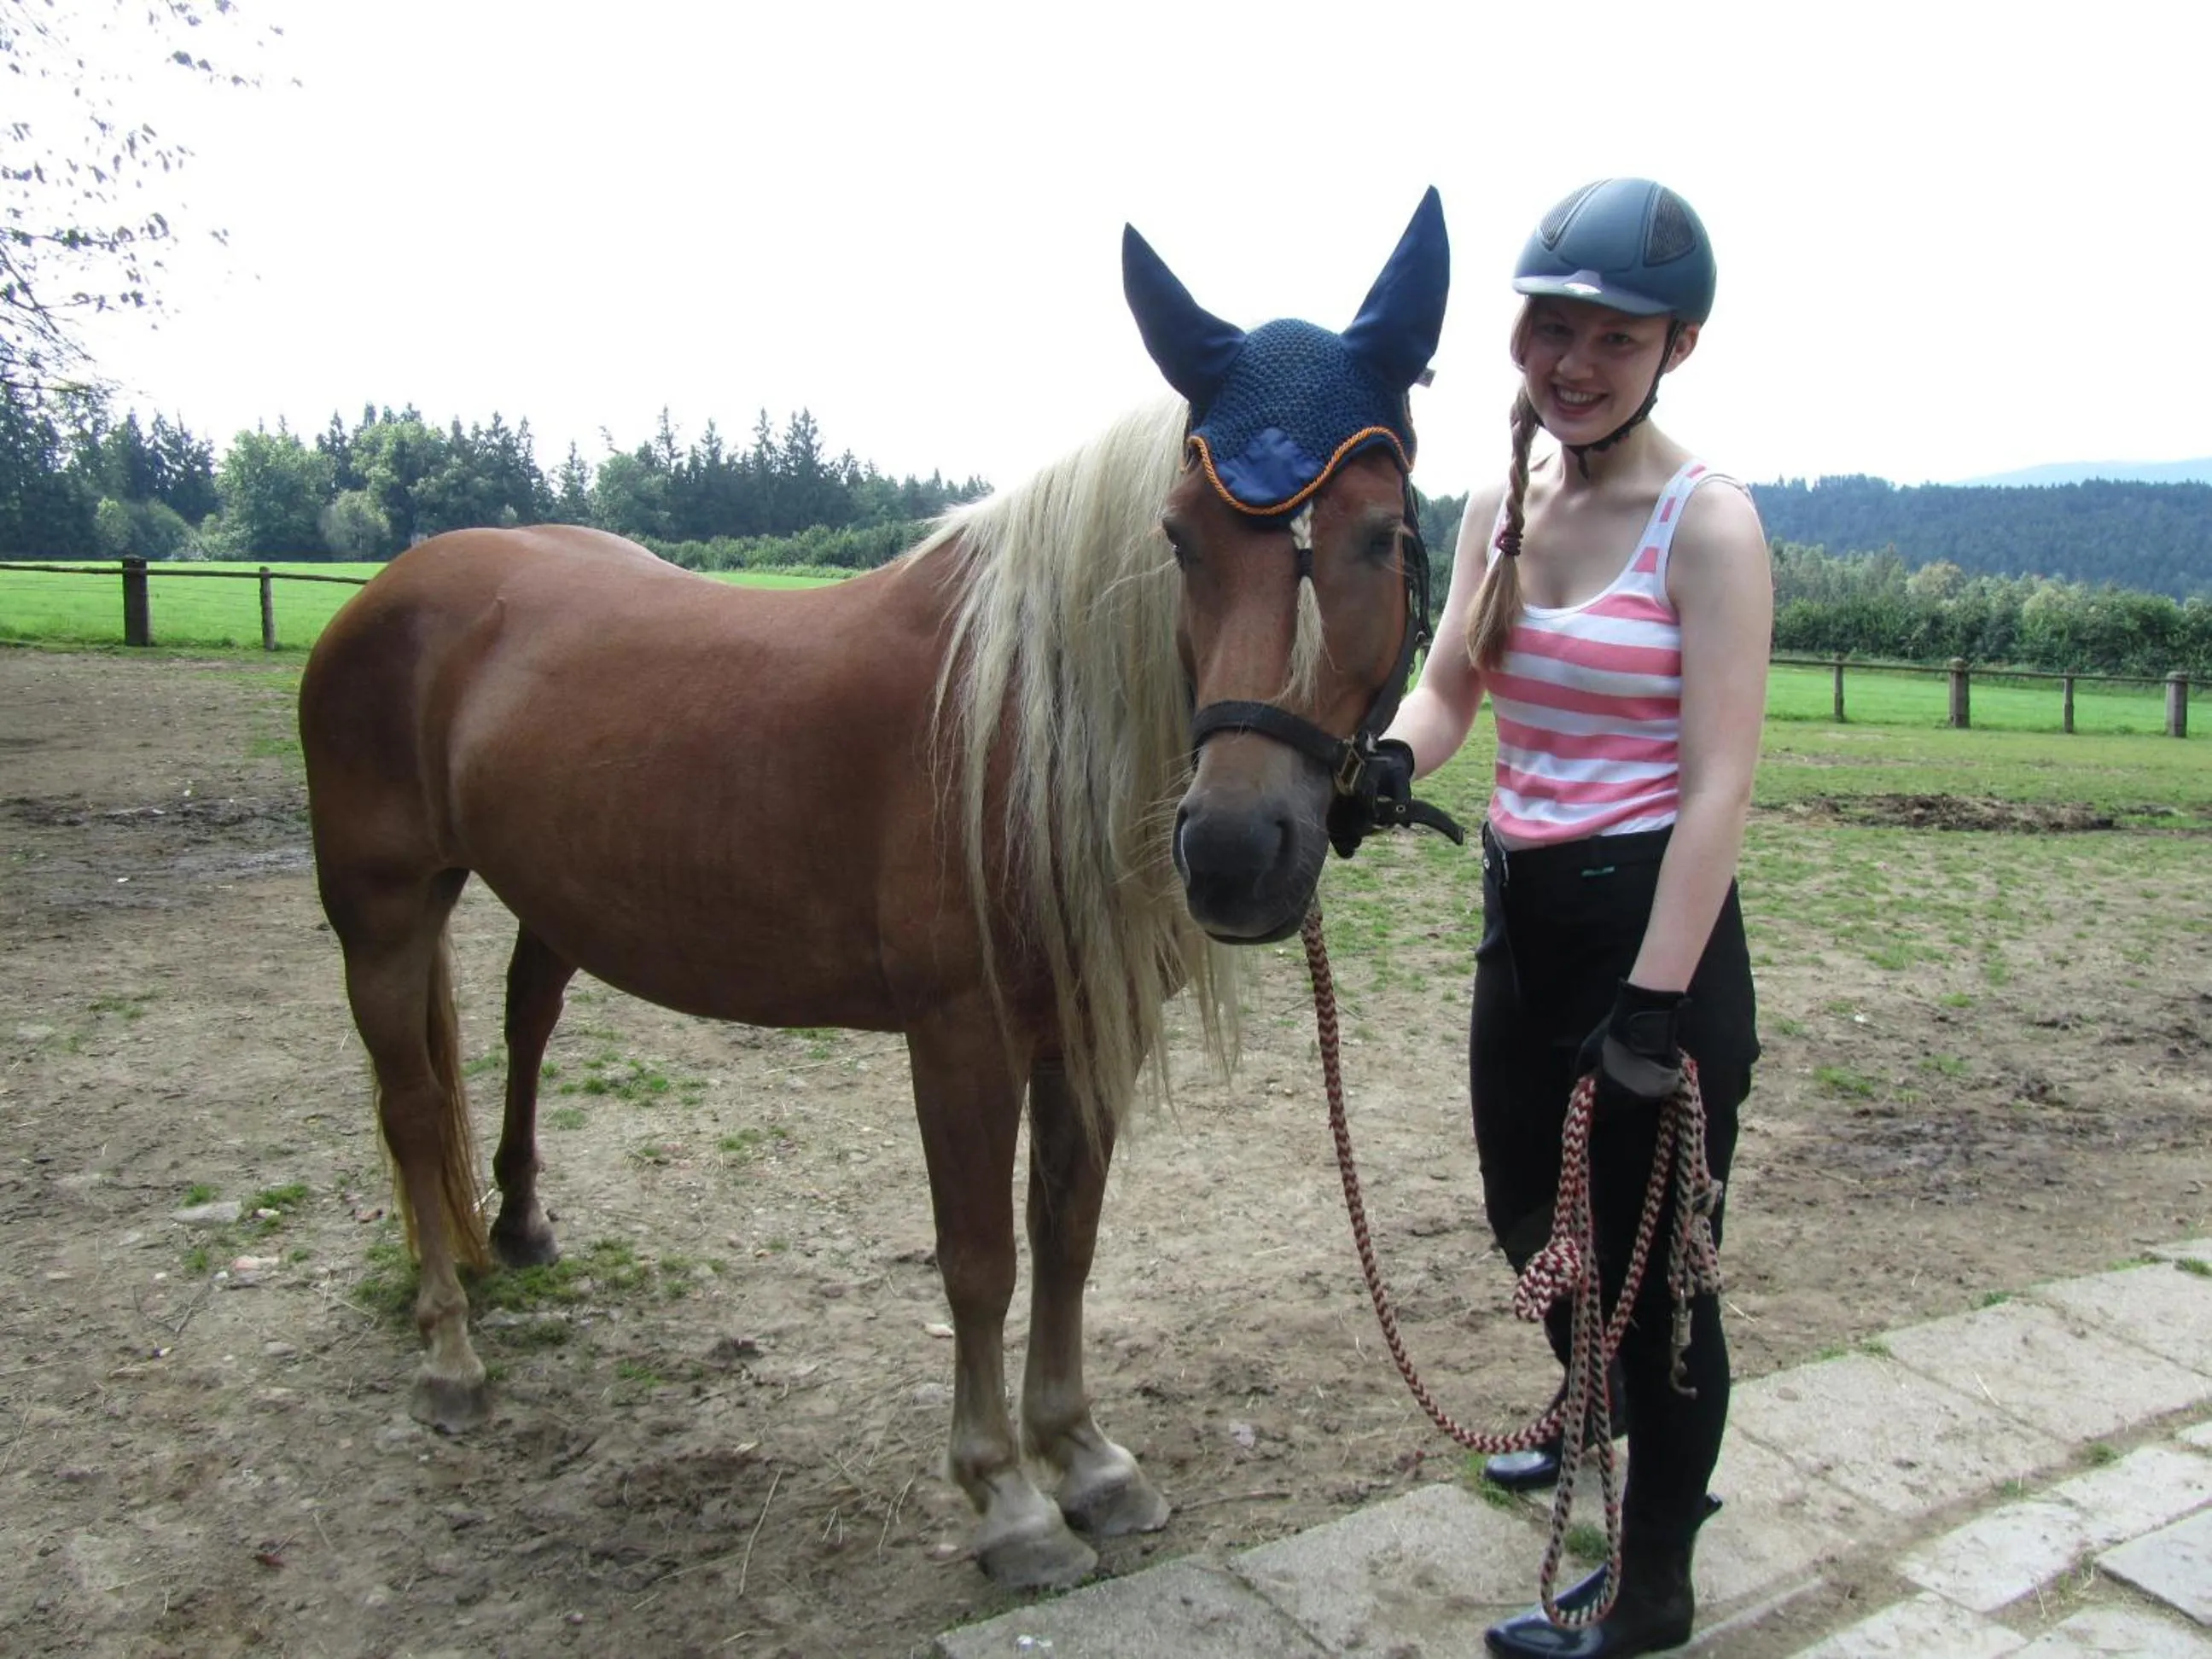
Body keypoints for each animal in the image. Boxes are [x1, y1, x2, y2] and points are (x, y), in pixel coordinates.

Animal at [298, 188, 1449, 1588]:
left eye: (1383, 534)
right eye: (1178, 540)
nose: (1234, 851)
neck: (1016, 721)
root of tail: (396, 589)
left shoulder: (1088, 1033)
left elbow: (1068, 1232)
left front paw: (1085, 1459)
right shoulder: (962, 1038)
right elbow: (980, 1260)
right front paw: (1005, 1497)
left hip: (540, 900)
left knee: (524, 1027)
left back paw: (515, 1228)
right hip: (383, 908)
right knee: (413, 1111)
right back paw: (450, 1353)